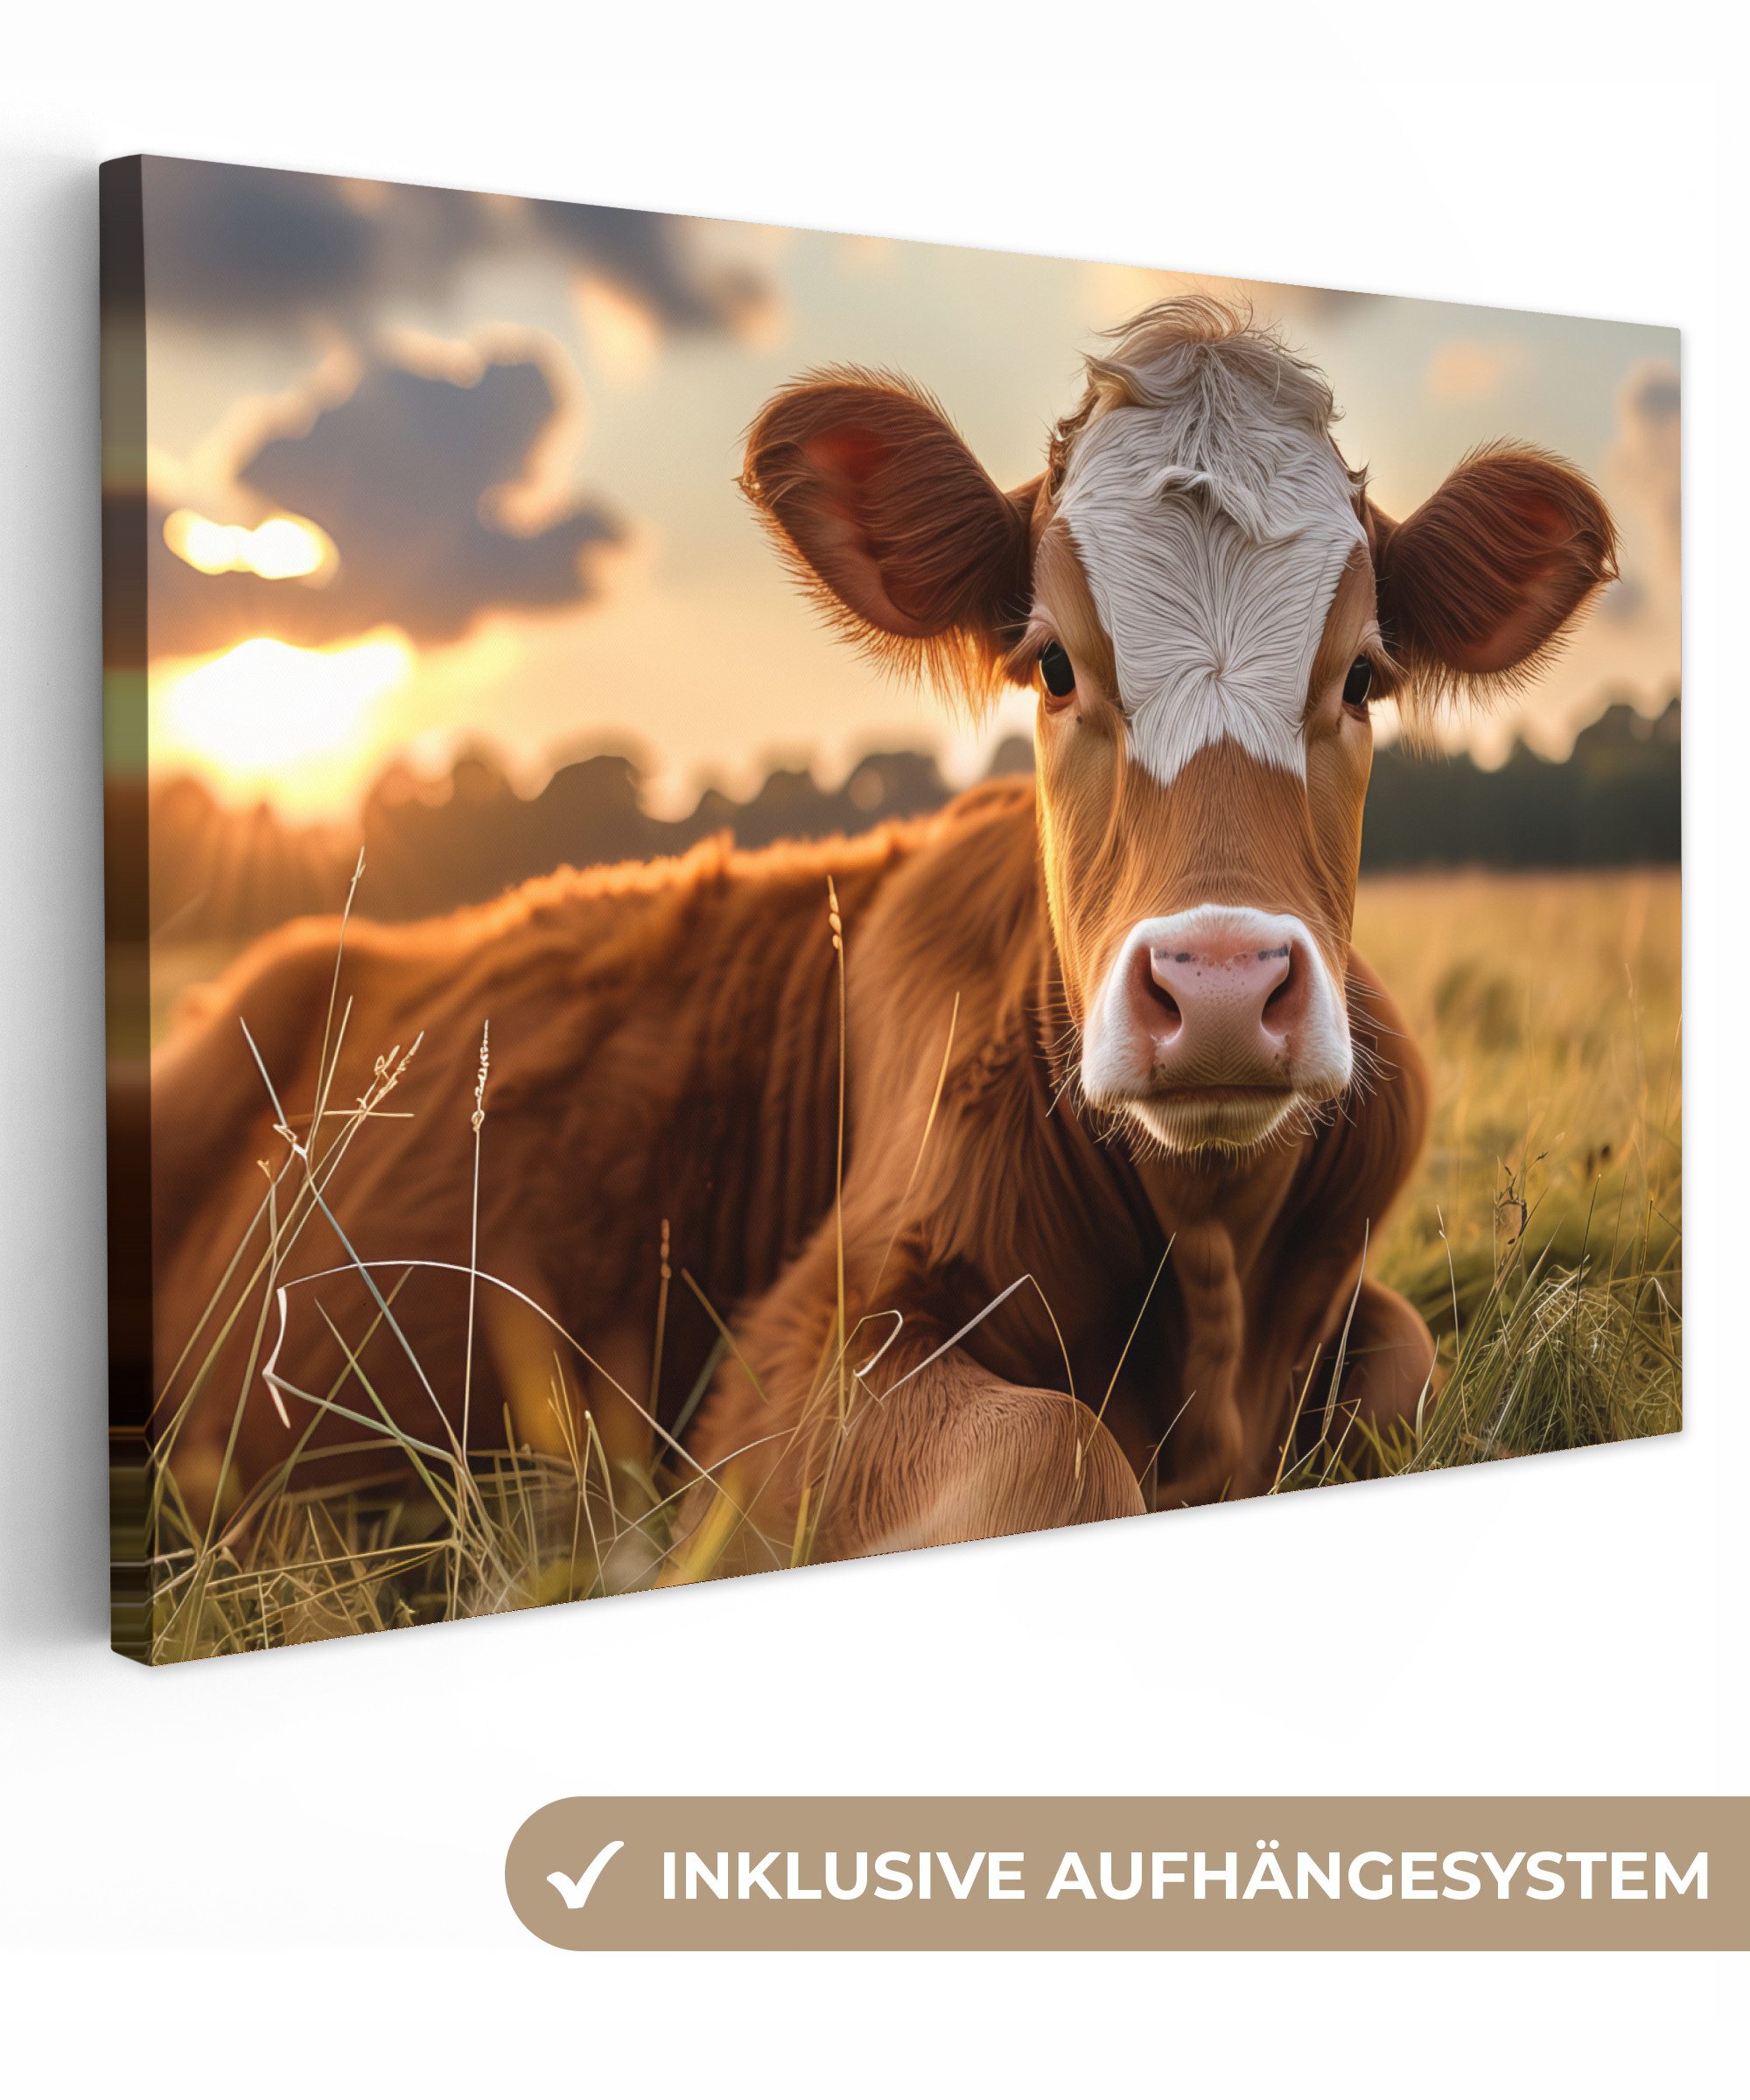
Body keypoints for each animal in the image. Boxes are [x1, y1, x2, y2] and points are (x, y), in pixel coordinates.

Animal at [150, 298, 1615, 1574]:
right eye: (1053, 664)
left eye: (1362, 675)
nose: (1216, 988)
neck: (1209, 1263)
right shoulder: (783, 1374)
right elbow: (1056, 1457)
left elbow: (1408, 1376)